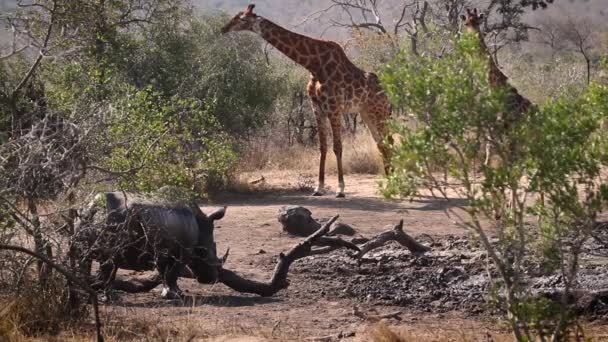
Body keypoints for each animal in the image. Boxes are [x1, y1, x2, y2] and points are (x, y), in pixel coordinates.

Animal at [73, 192, 226, 300]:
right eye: (205, 252)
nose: (211, 279)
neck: (201, 223)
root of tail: (93, 207)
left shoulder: (164, 251)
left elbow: (164, 272)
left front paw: (169, 294)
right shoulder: (186, 250)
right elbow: (173, 272)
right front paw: (177, 295)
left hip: (83, 217)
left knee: (88, 259)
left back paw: (89, 294)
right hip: (114, 221)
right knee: (109, 261)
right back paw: (109, 298)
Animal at [222, 3, 390, 198]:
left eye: (241, 18)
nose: (223, 28)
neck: (314, 65)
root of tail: (388, 94)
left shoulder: (333, 107)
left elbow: (338, 147)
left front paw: (340, 189)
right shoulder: (317, 107)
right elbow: (322, 147)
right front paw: (319, 188)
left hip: (379, 112)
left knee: (387, 141)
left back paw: (394, 180)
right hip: (366, 113)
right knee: (381, 144)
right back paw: (389, 180)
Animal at [460, 9, 532, 166]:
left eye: (478, 21)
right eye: (466, 23)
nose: (474, 35)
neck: (492, 84)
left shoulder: (503, 120)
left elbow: (499, 146)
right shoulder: (492, 117)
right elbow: (490, 141)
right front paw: (486, 164)